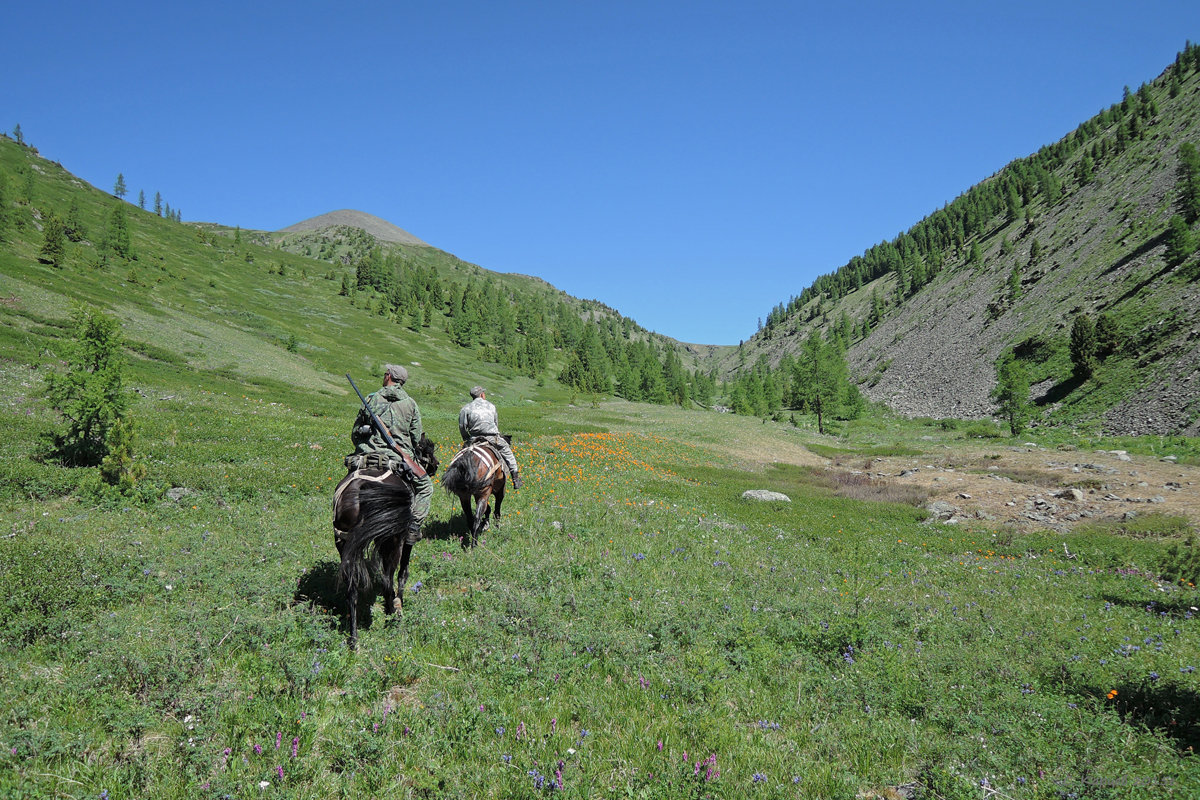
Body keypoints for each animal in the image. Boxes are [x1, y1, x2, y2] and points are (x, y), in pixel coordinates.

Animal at [331, 434, 439, 647]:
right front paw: (399, 602)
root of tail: (360, 489)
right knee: (387, 581)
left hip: (344, 543)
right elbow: (403, 573)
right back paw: (394, 618)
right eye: (428, 449)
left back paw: (354, 640)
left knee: (352, 590)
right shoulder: (404, 539)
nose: (436, 465)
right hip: (392, 542)